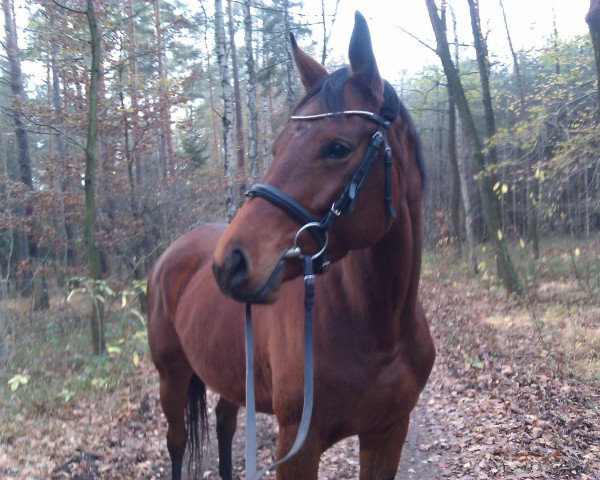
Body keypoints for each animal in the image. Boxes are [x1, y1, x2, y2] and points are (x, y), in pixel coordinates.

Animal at [148, 12, 434, 480]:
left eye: (337, 147)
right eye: (277, 146)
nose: (230, 262)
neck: (380, 328)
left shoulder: (388, 432)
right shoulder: (298, 446)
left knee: (225, 423)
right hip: (171, 375)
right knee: (176, 442)